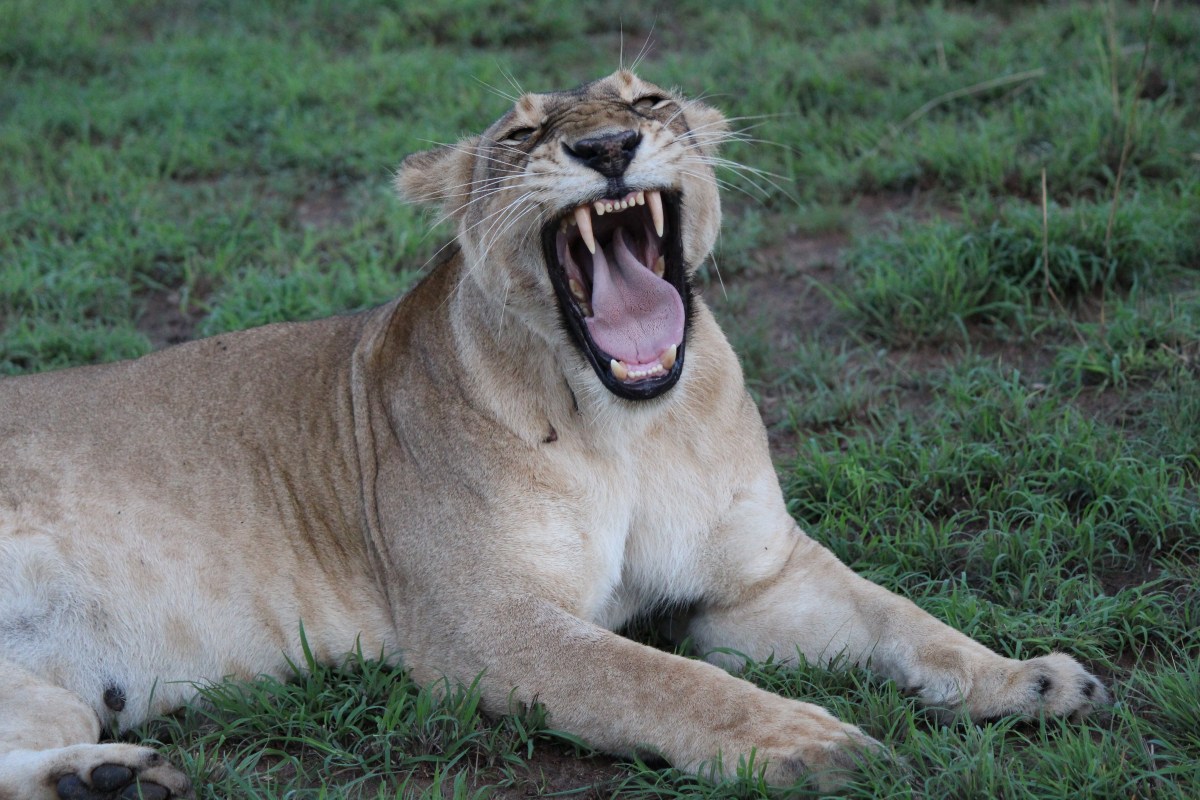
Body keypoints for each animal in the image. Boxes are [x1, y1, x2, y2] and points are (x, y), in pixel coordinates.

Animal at [0, 71, 1106, 798]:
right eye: (523, 133)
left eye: (647, 102)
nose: (607, 148)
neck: (628, 428)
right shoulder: (484, 625)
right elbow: (661, 680)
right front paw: (808, 740)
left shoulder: (756, 582)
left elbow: (900, 617)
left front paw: (1030, 678)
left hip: (52, 693)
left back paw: (107, 777)